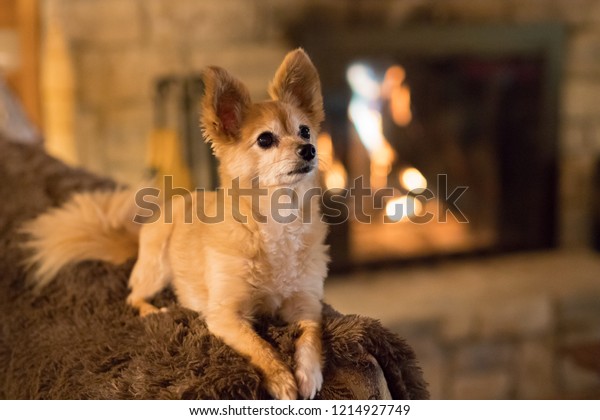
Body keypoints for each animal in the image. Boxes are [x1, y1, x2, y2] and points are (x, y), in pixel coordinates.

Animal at [22, 49, 328, 400]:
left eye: (305, 131)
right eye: (265, 139)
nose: (310, 149)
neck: (278, 219)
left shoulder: (307, 304)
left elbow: (312, 336)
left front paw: (308, 372)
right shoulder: (225, 315)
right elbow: (258, 345)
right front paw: (281, 380)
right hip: (157, 268)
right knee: (133, 297)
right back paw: (156, 311)